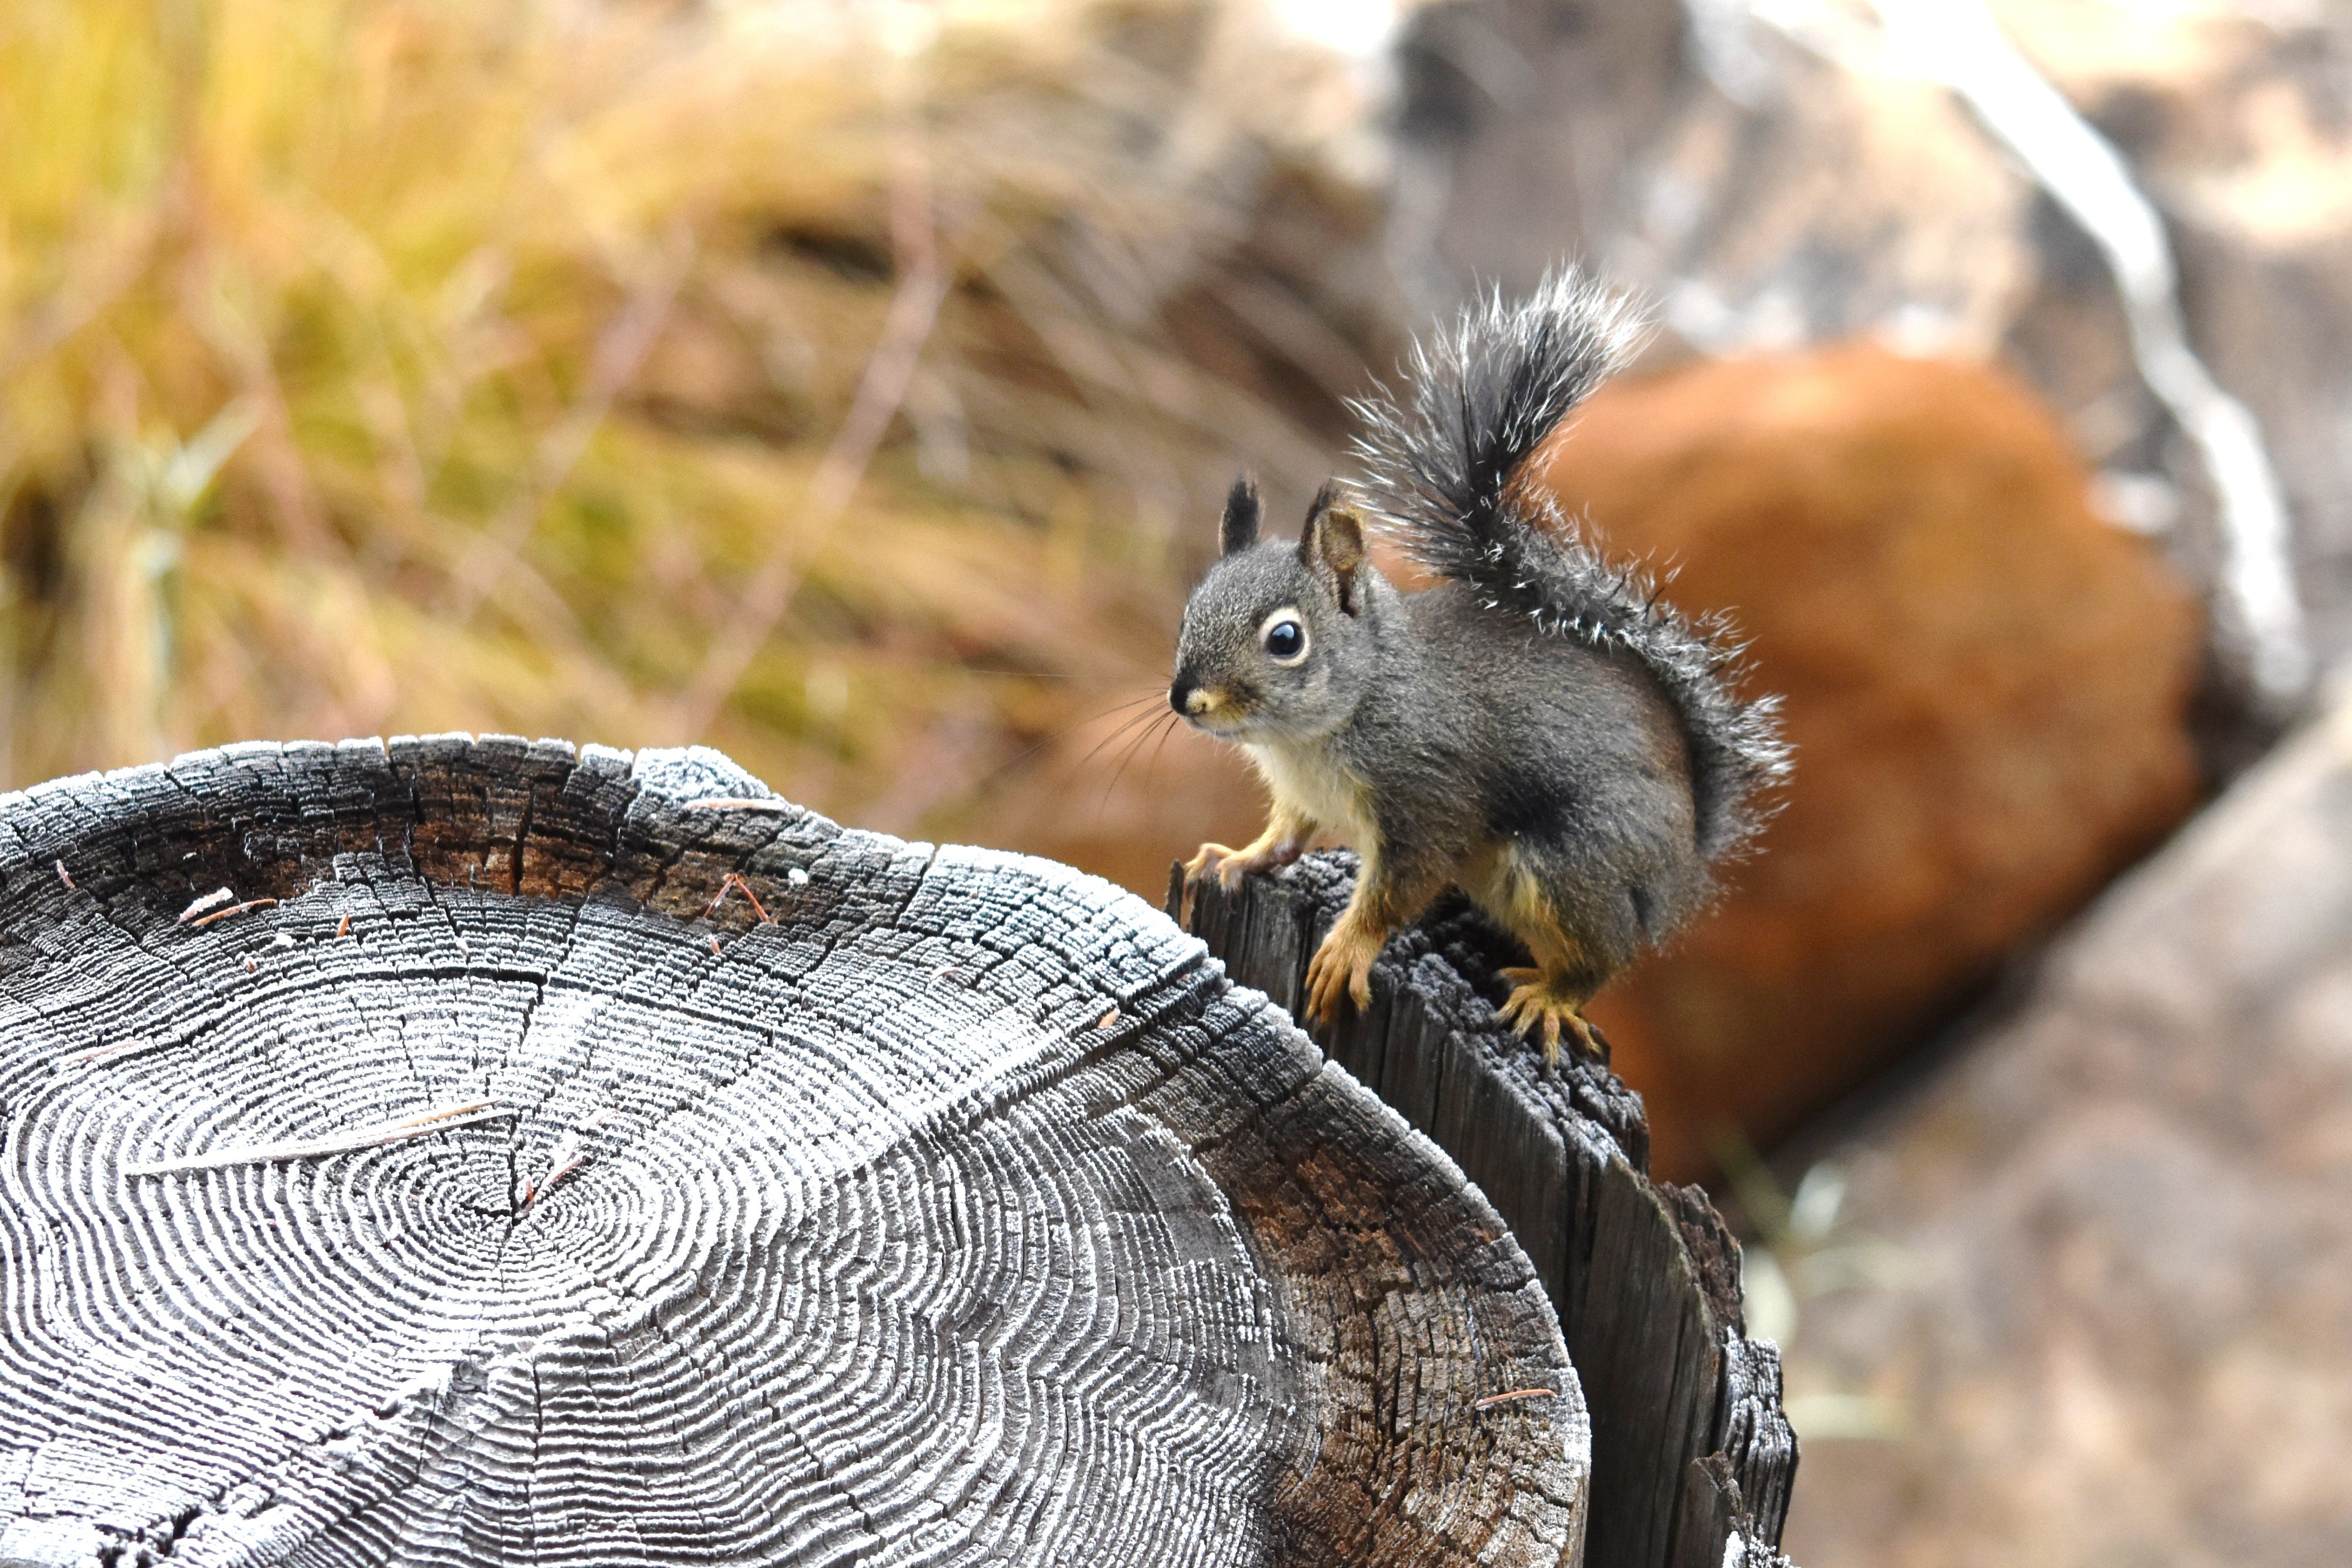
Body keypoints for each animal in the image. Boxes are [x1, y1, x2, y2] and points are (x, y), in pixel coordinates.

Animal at [1170, 269, 1789, 1063]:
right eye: (1189, 612)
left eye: (1285, 639)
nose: (1186, 700)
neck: (1321, 729)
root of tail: (1686, 868)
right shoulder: (1303, 797)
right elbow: (1283, 838)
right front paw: (1236, 857)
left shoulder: (1428, 800)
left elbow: (1397, 891)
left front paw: (1348, 950)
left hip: (1574, 867)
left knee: (1599, 959)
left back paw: (1550, 996)